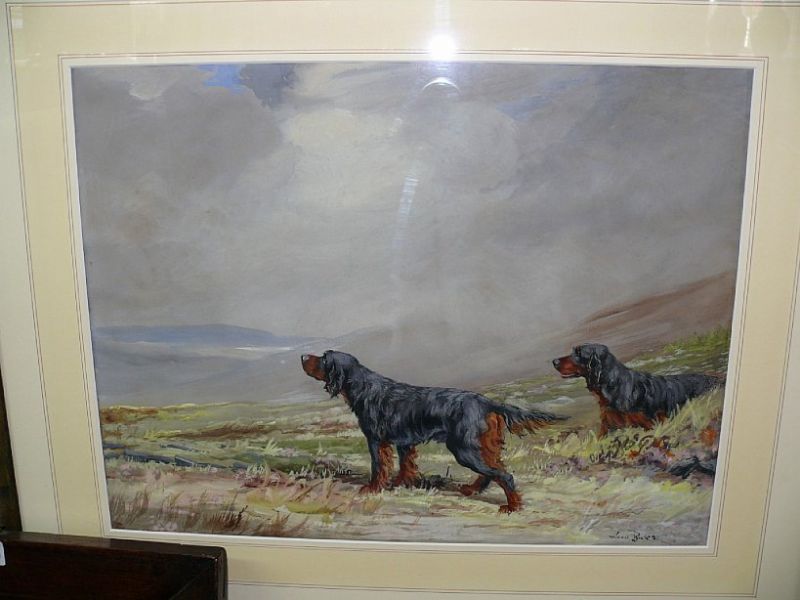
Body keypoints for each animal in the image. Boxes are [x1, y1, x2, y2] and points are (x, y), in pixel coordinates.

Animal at [301, 350, 567, 513]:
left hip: (464, 448)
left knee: (504, 475)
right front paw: (401, 483)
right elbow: (406, 465)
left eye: (323, 358)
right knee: (494, 470)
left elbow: (379, 466)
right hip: (479, 445)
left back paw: (512, 506)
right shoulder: (404, 442)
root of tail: (487, 402)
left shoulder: (377, 440)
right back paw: (472, 490)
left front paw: (373, 488)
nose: (303, 356)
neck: (364, 387)